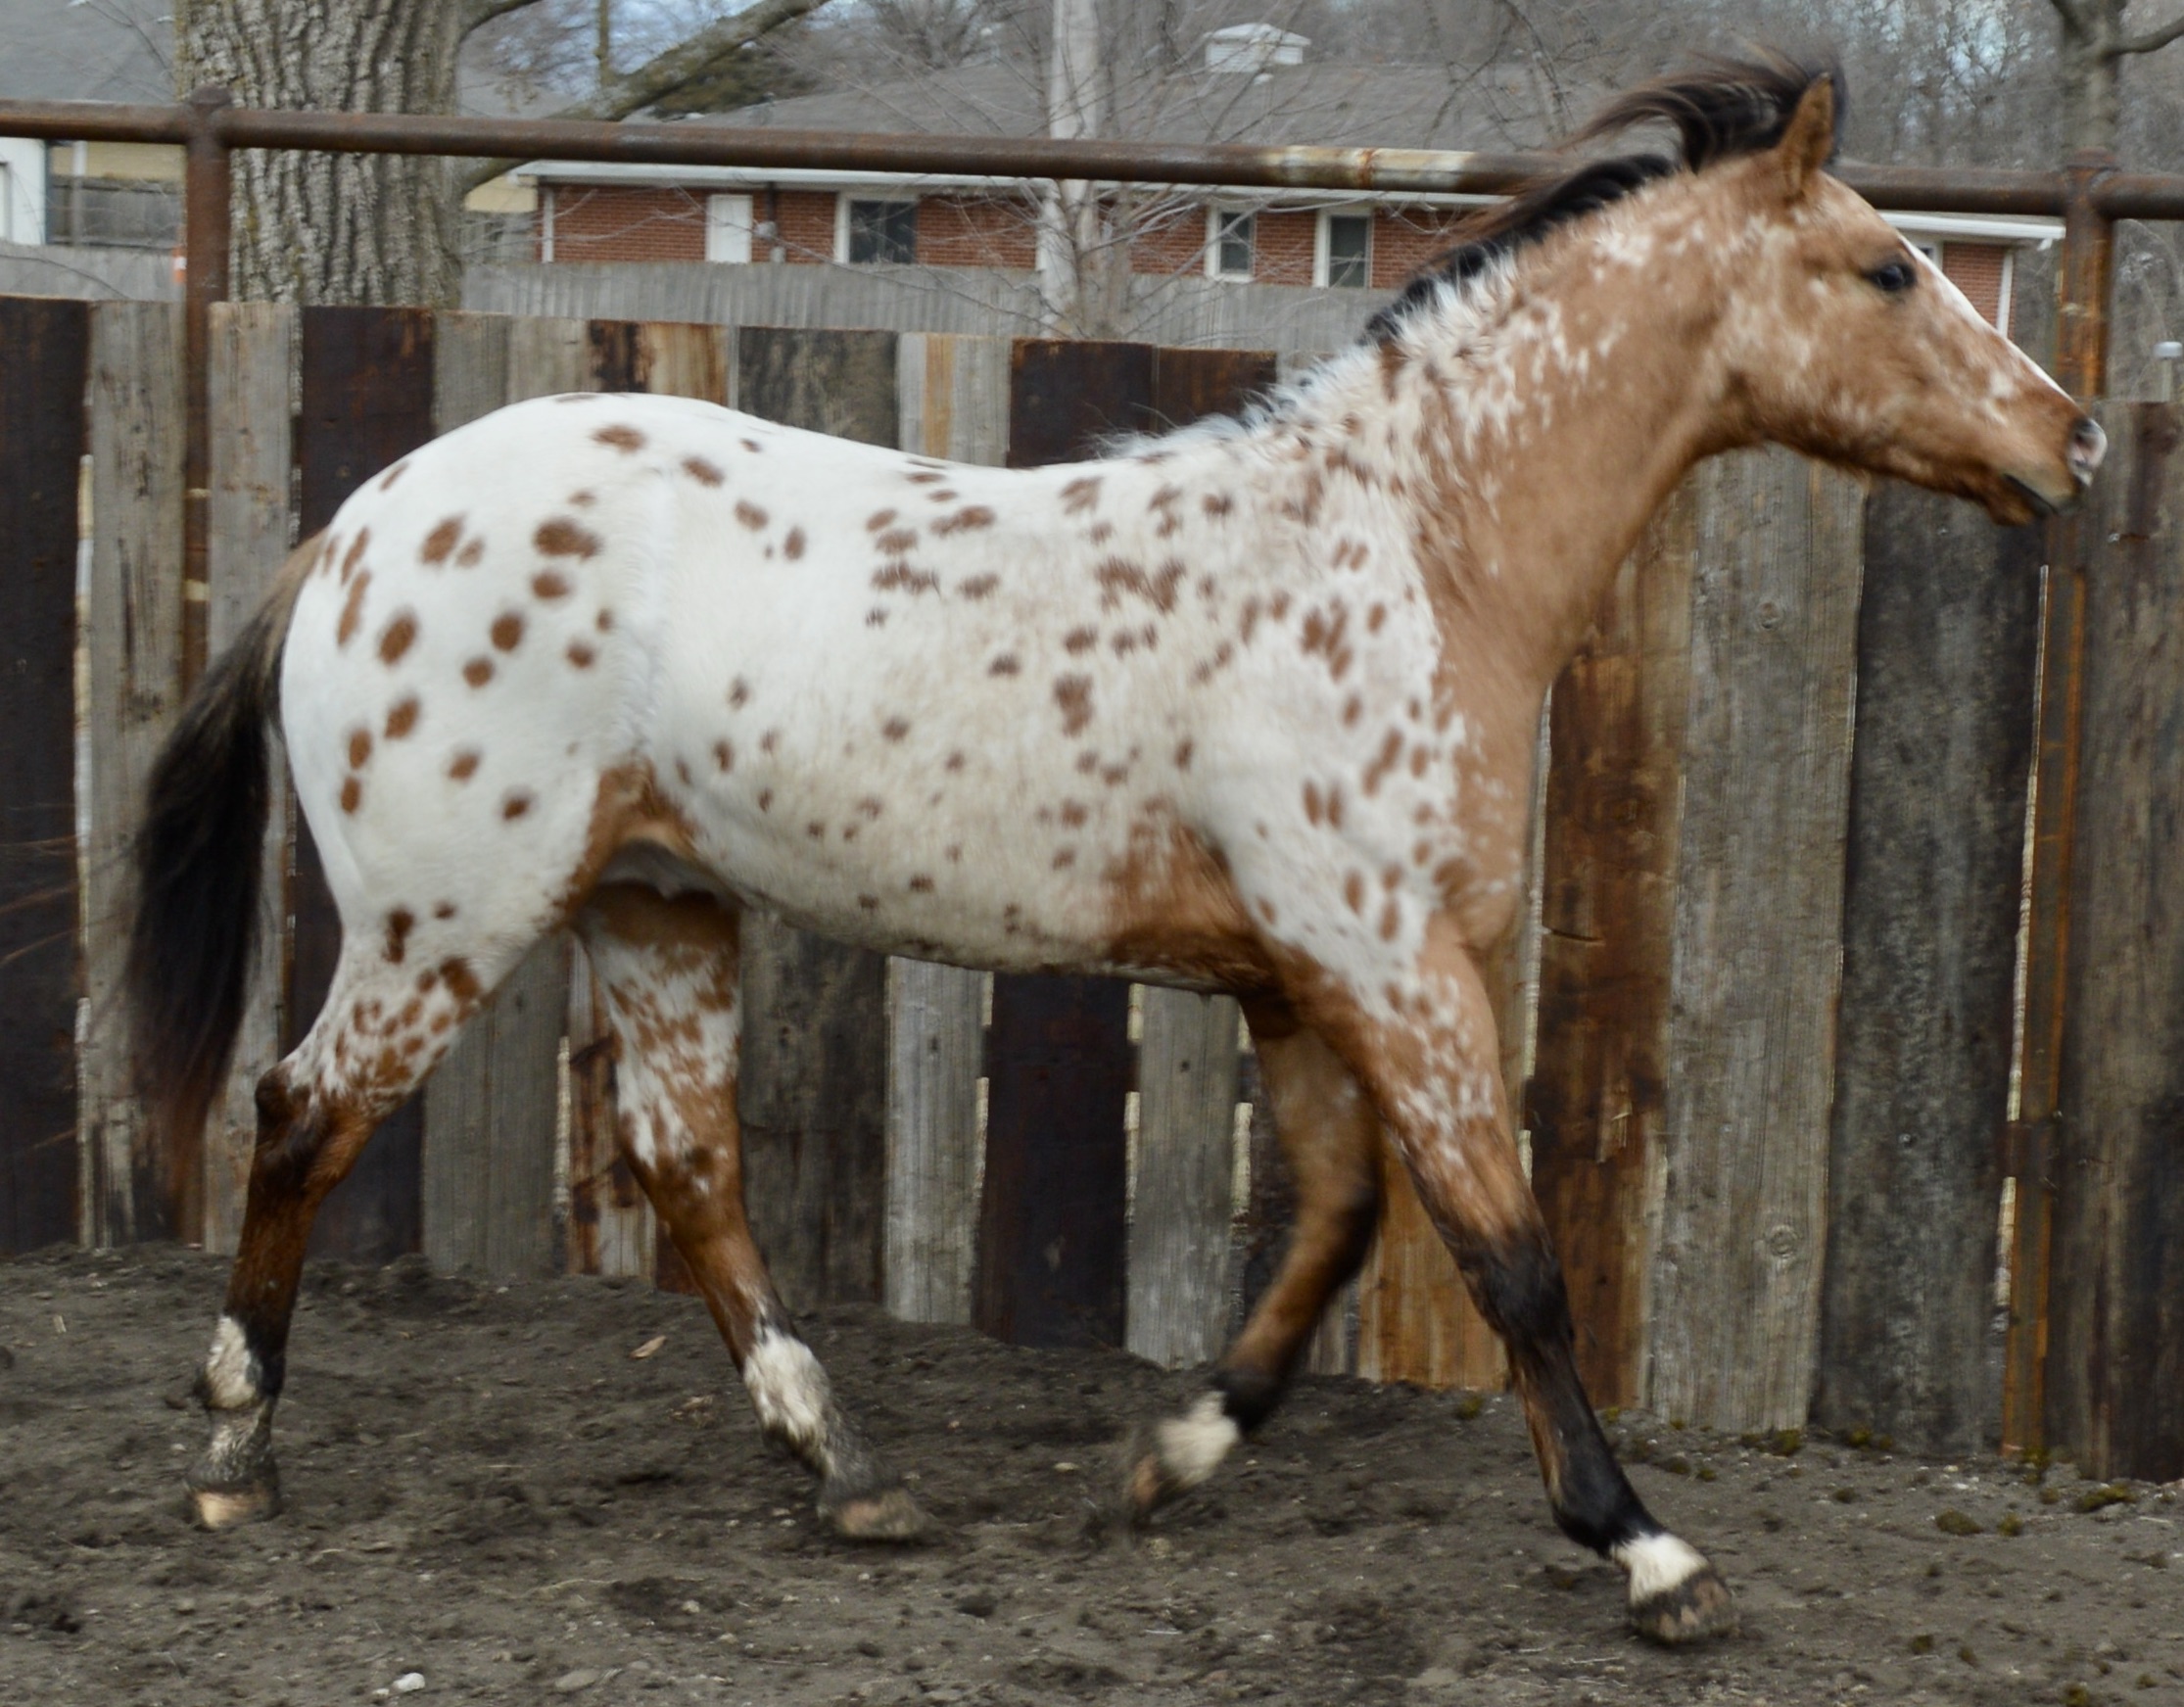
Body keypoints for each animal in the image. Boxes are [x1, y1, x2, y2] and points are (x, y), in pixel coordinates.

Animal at [128, 53, 2101, 1645]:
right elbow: (1507, 1250)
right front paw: (1647, 1552)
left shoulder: (1304, 979)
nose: (2071, 439)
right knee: (303, 1112)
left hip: (653, 901)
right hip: (445, 913)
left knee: (688, 1162)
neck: (1411, 546)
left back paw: (848, 1468)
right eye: (1888, 265)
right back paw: (235, 1444)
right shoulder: (1392, 965)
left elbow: (1336, 1224)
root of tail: (357, 526)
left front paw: (1168, 1459)